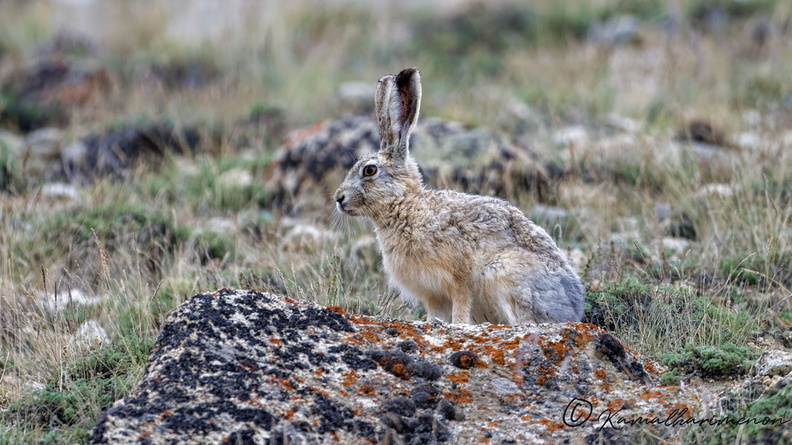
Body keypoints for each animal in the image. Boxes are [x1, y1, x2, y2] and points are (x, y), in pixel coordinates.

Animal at [334, 68, 584, 325]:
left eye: (369, 170)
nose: (339, 198)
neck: (405, 206)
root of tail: (571, 309)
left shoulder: (459, 278)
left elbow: (462, 305)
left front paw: (459, 325)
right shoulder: (433, 294)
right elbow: (435, 313)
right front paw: (433, 323)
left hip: (505, 273)